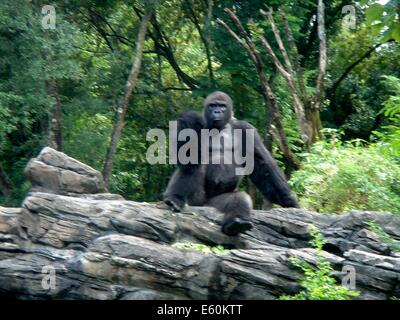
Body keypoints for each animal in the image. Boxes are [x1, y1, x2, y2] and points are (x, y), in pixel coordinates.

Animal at [162, 91, 296, 236]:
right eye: (213, 105)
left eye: (222, 106)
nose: (217, 111)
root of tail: (203, 205)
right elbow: (187, 156)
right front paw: (187, 120)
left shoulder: (246, 129)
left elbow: (262, 164)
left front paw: (288, 199)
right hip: (195, 201)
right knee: (193, 168)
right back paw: (175, 199)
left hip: (213, 204)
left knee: (239, 198)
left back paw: (236, 223)